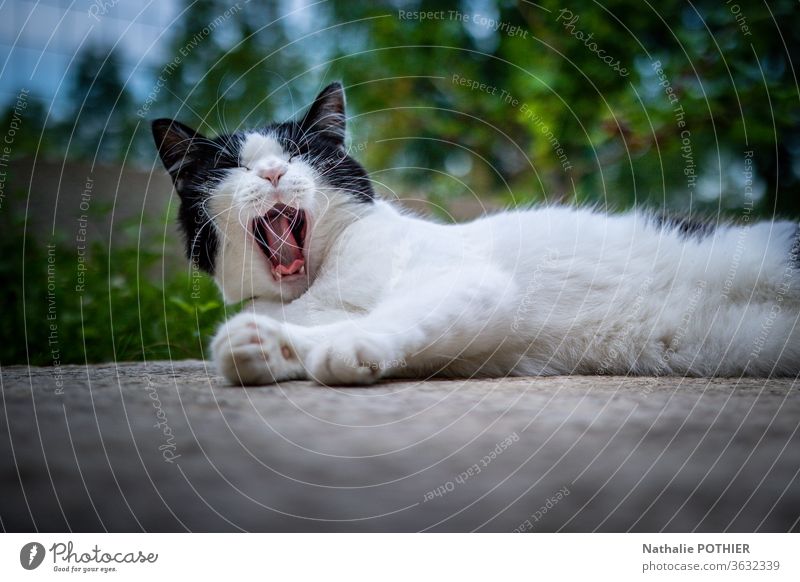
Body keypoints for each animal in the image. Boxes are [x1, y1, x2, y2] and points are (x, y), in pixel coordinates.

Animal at [152, 81, 800, 384]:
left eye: (299, 154)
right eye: (232, 167)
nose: (271, 171)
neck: (317, 284)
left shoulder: (465, 281)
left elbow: (385, 317)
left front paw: (344, 348)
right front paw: (263, 348)